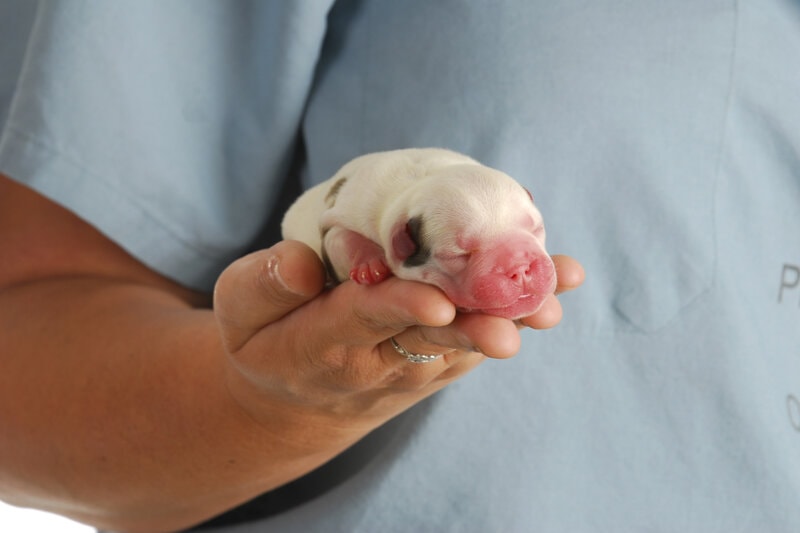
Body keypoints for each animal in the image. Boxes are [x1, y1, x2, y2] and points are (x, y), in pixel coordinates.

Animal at [282, 148, 556, 318]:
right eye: (458, 255)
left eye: (536, 228)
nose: (521, 267)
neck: (419, 181)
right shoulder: (339, 214)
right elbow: (338, 237)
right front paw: (370, 265)